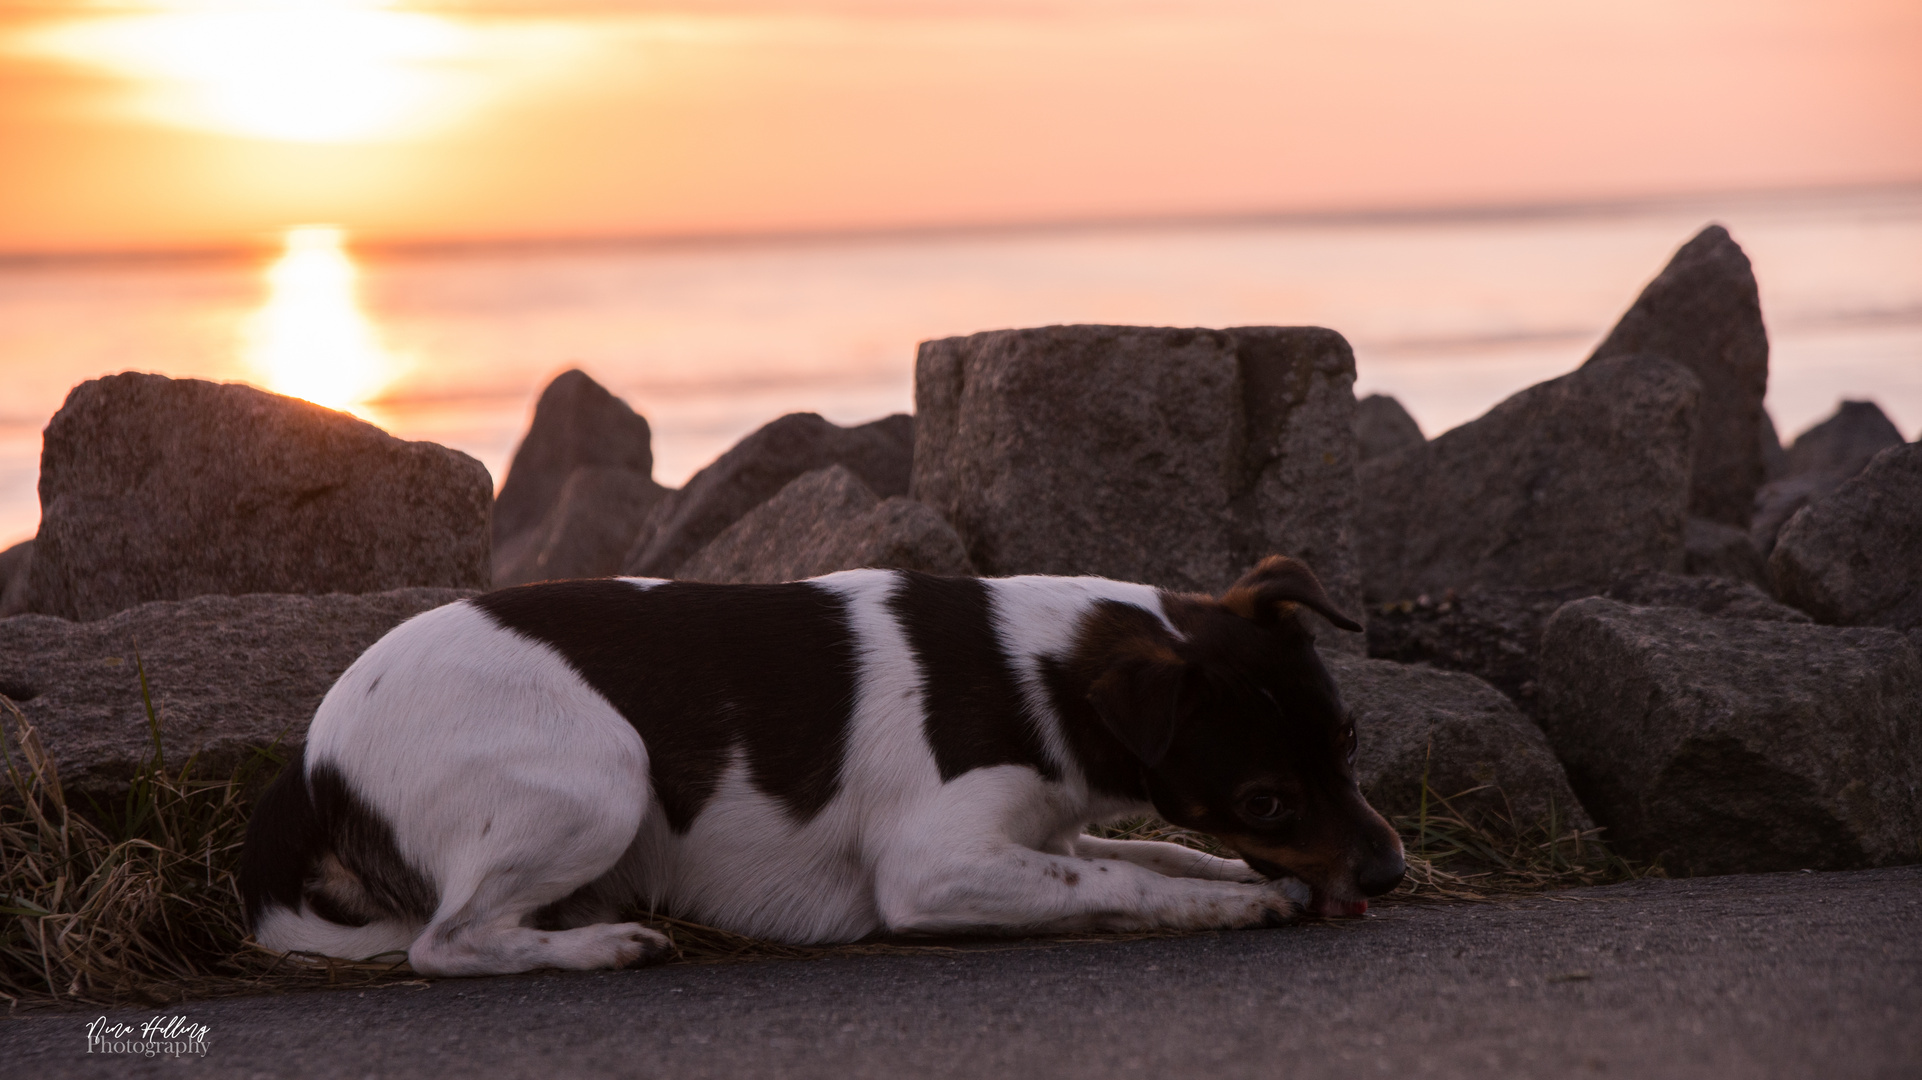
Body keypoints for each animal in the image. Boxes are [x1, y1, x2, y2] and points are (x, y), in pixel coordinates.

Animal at [240, 553, 1406, 976]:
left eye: (1350, 742)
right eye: (1264, 796)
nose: (1393, 875)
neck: (1036, 671)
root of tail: (309, 766)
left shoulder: (1052, 828)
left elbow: (1165, 857)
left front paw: (1234, 883)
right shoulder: (935, 868)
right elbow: (1128, 877)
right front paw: (1244, 906)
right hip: (601, 772)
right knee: (442, 944)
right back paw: (603, 946)